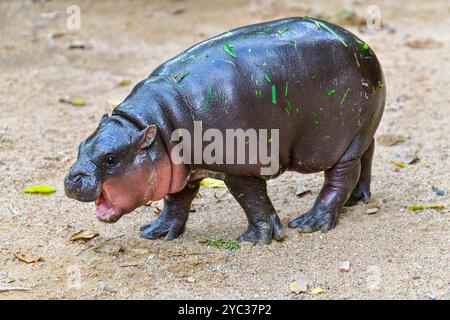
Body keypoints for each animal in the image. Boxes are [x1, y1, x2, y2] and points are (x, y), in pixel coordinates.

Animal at [65, 17, 384, 244]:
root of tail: (363, 45)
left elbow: (253, 201)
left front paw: (255, 240)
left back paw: (310, 223)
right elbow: (176, 200)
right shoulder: (183, 169)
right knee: (367, 155)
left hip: (339, 142)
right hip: (362, 131)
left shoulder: (240, 168)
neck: (154, 123)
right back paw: (357, 198)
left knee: (340, 177)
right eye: (81, 145)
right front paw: (156, 231)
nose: (70, 180)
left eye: (110, 159)